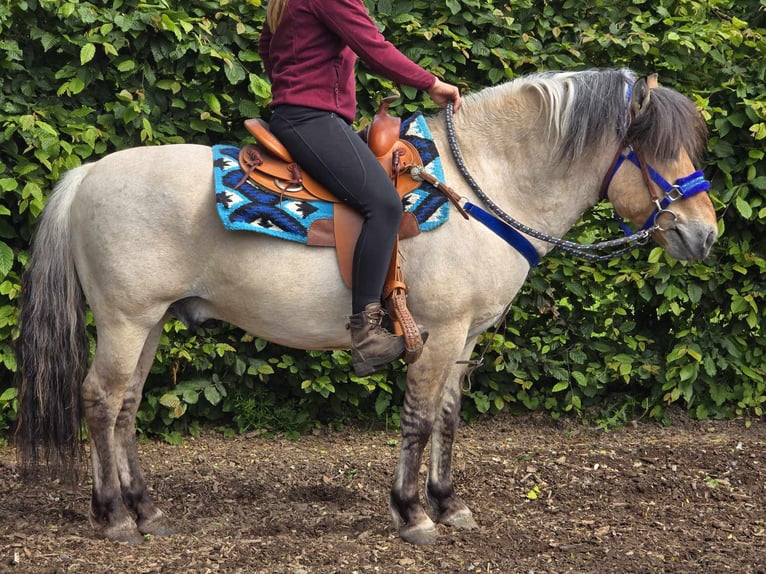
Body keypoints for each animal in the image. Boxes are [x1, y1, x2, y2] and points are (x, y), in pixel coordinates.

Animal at [13, 67, 720, 544]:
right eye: (656, 150)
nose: (704, 234)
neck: (482, 187)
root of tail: (89, 174)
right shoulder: (439, 332)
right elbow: (420, 417)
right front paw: (411, 513)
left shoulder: (465, 338)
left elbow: (449, 419)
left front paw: (448, 503)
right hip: (126, 320)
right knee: (100, 400)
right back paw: (112, 516)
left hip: (152, 321)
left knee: (127, 405)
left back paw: (146, 509)